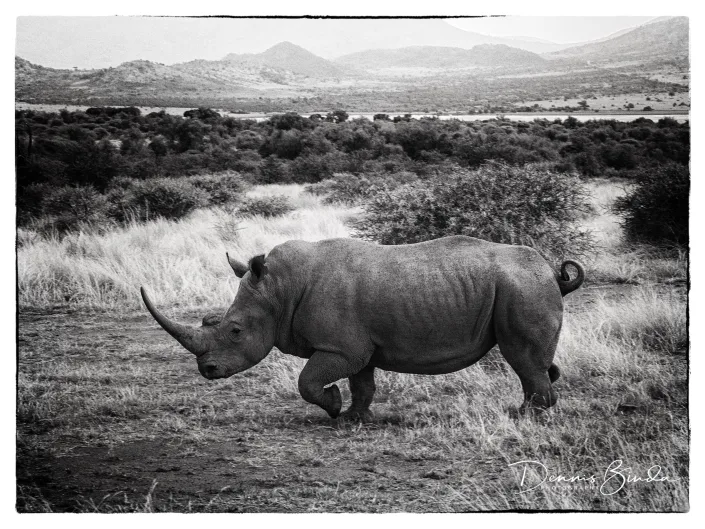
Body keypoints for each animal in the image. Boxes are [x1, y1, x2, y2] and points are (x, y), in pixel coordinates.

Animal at [141, 236, 584, 420]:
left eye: (234, 331)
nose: (207, 371)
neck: (279, 289)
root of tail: (551, 269)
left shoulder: (340, 347)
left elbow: (307, 381)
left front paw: (334, 407)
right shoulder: (358, 346)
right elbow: (363, 383)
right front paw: (355, 417)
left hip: (522, 287)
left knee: (521, 358)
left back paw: (523, 416)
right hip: (523, 286)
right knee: (535, 361)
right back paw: (533, 404)